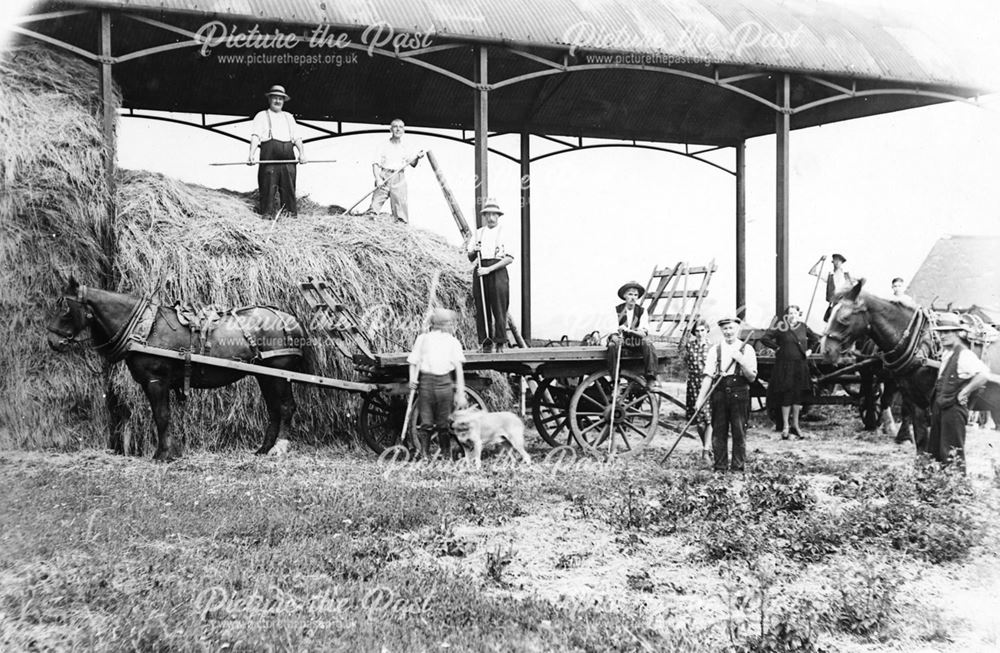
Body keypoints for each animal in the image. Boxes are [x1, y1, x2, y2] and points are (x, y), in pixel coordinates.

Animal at [47, 276, 310, 458]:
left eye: (65, 308)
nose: (52, 341)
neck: (145, 328)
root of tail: (291, 320)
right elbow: (164, 416)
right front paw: (171, 451)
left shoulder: (155, 380)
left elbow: (161, 415)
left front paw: (163, 454)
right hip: (265, 376)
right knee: (274, 410)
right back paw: (263, 449)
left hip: (279, 374)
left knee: (286, 407)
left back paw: (279, 447)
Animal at [820, 280, 1000, 448]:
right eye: (829, 313)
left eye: (844, 318)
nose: (826, 350)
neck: (919, 338)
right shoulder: (908, 389)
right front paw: (903, 435)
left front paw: (904, 436)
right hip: (869, 373)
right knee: (871, 396)